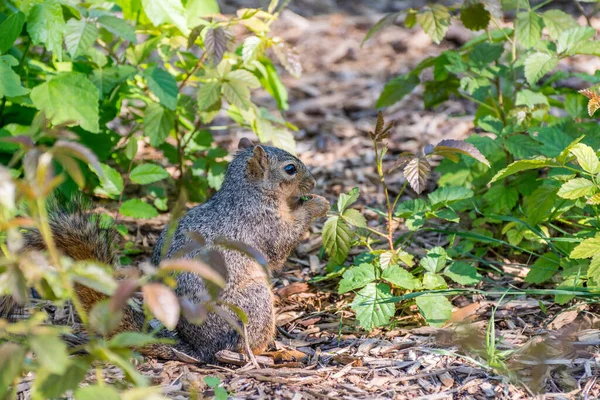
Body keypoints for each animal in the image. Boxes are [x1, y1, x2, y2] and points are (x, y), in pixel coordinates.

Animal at [3, 139, 328, 364]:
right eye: (290, 169)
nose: (313, 182)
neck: (249, 194)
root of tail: (198, 349)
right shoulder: (262, 225)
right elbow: (281, 245)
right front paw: (317, 204)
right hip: (253, 304)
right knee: (241, 349)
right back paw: (278, 354)